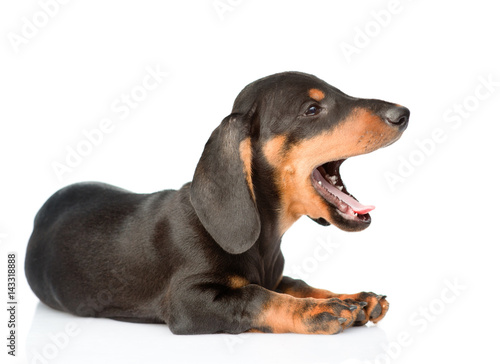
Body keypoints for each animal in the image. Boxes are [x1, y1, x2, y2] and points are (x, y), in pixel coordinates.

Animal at [25, 72, 410, 336]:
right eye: (312, 109)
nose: (403, 112)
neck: (264, 238)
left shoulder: (275, 276)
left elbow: (297, 284)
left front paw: (353, 297)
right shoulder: (189, 302)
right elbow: (256, 297)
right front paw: (317, 311)